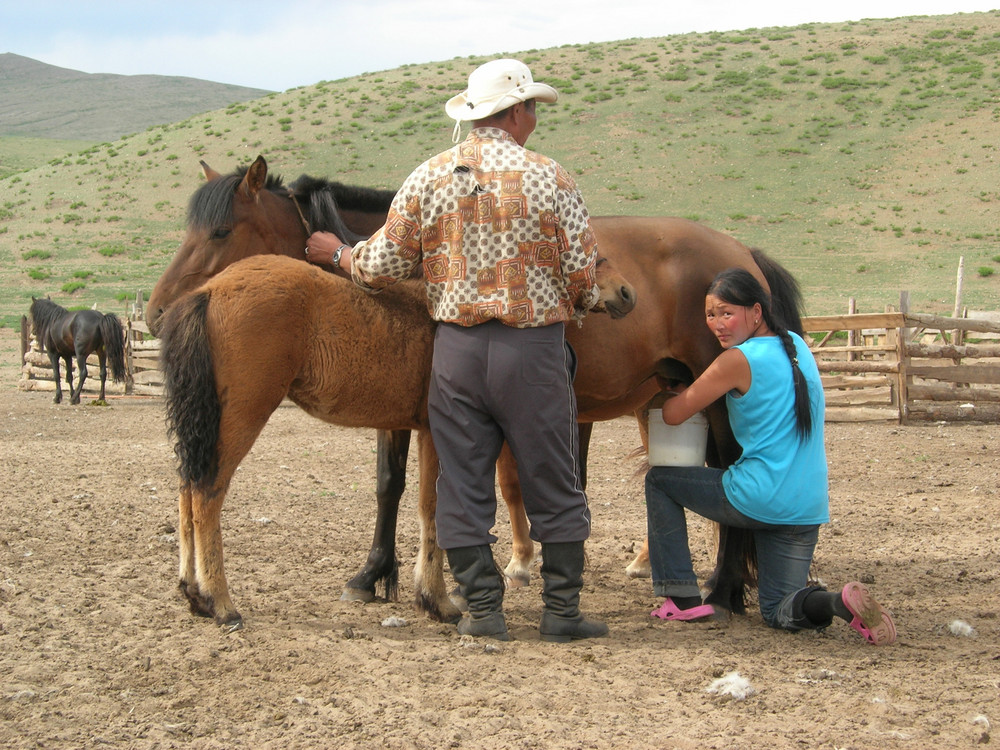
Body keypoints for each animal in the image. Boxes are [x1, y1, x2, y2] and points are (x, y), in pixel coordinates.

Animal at [148, 157, 804, 628]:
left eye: (221, 229)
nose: (155, 314)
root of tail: (741, 251)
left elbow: (435, 502)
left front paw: (432, 588)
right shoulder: (414, 420)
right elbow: (400, 490)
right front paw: (384, 579)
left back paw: (723, 588)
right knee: (199, 487)